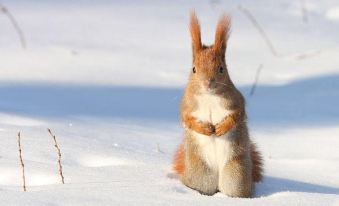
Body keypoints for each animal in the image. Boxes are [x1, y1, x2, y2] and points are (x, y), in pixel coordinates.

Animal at [174, 12, 264, 198]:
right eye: (194, 69)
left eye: (221, 68)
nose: (208, 83)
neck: (209, 96)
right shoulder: (187, 105)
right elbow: (186, 119)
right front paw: (205, 129)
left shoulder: (236, 100)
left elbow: (237, 115)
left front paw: (222, 128)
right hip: (201, 174)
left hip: (236, 174)